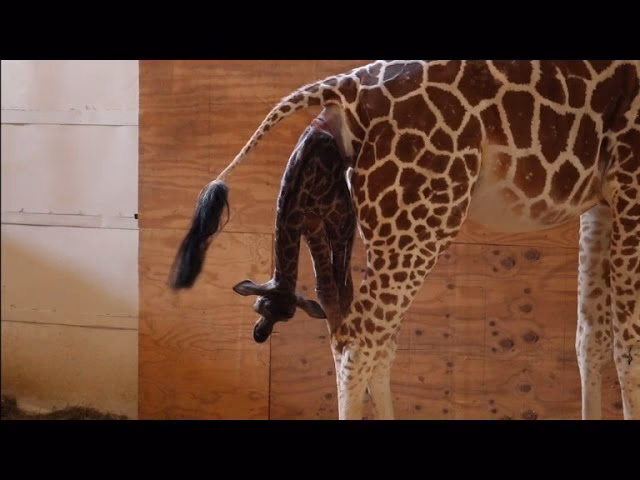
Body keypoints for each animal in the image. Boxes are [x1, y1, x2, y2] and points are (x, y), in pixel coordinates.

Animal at [230, 118, 356, 342]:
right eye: (258, 307)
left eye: (288, 317)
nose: (259, 336)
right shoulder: (310, 224)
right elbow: (325, 285)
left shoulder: (343, 217)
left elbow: (343, 285)